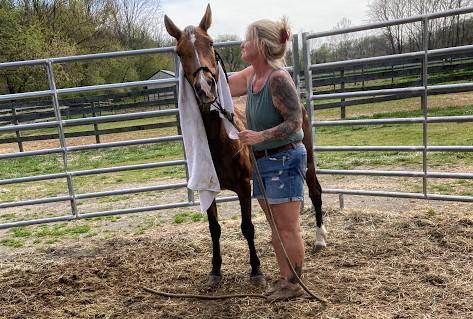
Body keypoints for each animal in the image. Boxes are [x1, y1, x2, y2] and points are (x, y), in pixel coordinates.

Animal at [163, 4, 324, 290]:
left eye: (210, 43)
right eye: (179, 52)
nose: (205, 87)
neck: (219, 141)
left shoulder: (243, 185)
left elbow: (247, 226)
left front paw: (256, 270)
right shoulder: (208, 187)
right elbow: (214, 229)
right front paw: (215, 271)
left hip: (308, 161)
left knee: (315, 191)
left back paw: (319, 239)